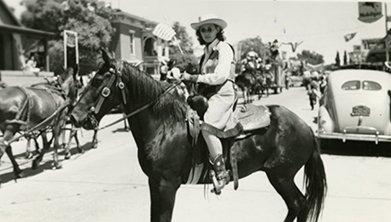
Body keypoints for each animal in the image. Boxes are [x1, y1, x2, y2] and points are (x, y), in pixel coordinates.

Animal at [70, 49, 328, 222]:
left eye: (97, 80)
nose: (74, 116)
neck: (164, 127)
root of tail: (305, 126)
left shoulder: (165, 185)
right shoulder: (154, 183)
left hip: (281, 175)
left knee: (299, 204)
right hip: (280, 176)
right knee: (297, 206)